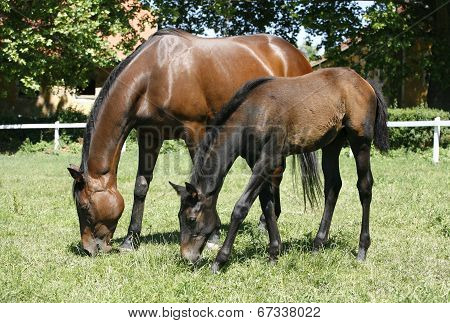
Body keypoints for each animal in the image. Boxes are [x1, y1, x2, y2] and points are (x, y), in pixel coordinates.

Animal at [67, 27, 312, 256]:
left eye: (84, 206)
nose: (89, 249)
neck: (157, 72)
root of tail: (294, 53)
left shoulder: (195, 130)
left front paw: (213, 235)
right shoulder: (150, 134)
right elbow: (141, 186)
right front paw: (130, 240)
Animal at [171, 67, 388, 274]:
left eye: (191, 219)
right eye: (179, 217)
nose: (187, 256)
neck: (254, 112)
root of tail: (365, 82)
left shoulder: (269, 159)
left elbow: (241, 207)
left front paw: (219, 261)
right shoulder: (256, 162)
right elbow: (267, 204)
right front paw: (274, 253)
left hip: (360, 141)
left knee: (364, 186)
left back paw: (362, 250)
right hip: (332, 144)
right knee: (333, 186)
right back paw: (318, 244)